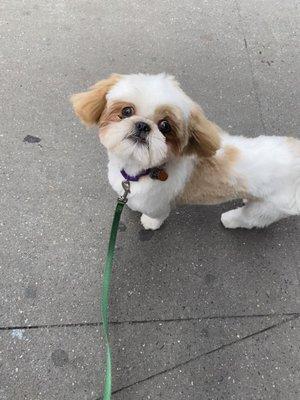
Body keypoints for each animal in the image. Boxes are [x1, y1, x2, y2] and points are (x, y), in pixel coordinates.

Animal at [71, 71, 300, 228]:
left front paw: (149, 223)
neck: (140, 169)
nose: (143, 126)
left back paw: (230, 219)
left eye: (165, 126)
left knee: (251, 218)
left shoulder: (157, 204)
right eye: (126, 111)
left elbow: (156, 216)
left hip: (270, 207)